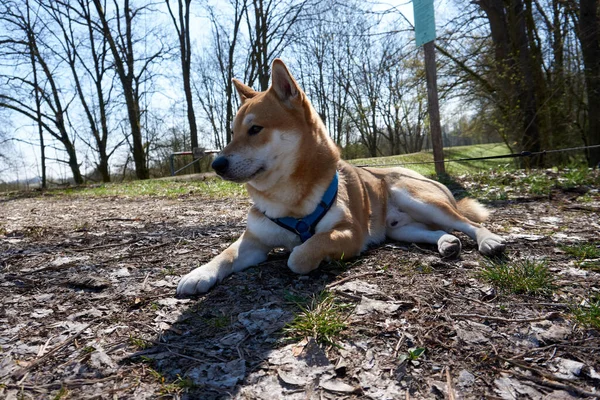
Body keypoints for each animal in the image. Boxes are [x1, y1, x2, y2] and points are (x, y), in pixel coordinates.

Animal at [176, 60, 504, 296]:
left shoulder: (349, 231)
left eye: (255, 129)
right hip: (401, 229)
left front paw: (310, 256)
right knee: (434, 231)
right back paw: (447, 243)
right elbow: (225, 254)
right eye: (232, 133)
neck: (287, 200)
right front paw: (198, 274)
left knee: (468, 224)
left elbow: (301, 254)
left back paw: (488, 240)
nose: (217, 163)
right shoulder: (254, 239)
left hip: (416, 198)